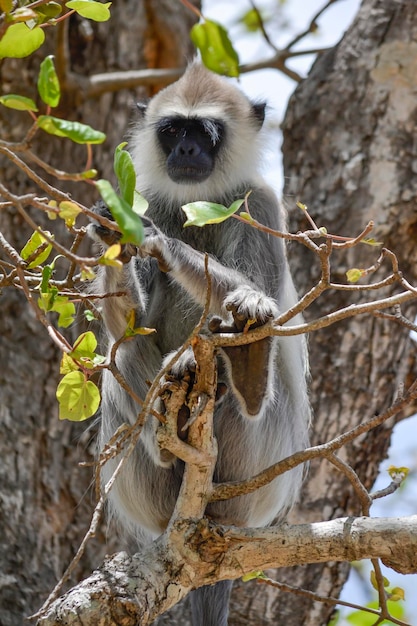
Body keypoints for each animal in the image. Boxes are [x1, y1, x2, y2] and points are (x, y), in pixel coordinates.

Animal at [88, 62, 308, 624]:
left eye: (204, 133)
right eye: (172, 131)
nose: (186, 150)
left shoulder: (259, 204)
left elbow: (260, 295)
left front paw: (160, 244)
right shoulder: (151, 196)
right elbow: (129, 325)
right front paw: (119, 238)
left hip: (260, 459)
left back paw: (245, 369)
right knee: (124, 351)